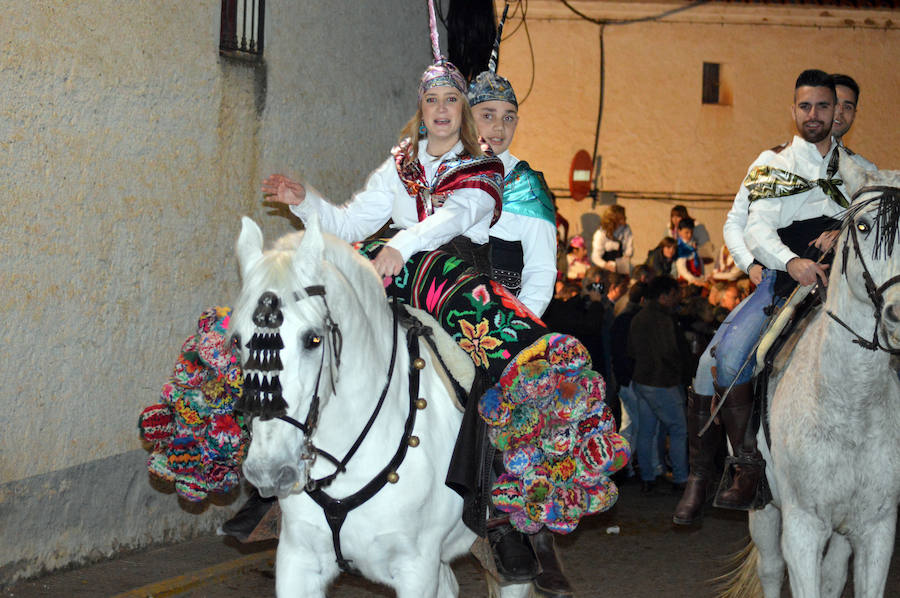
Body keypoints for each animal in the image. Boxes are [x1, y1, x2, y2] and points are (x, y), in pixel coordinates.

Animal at [724, 161, 900, 598]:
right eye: (864, 226)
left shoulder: (876, 530)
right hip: (764, 511)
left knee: (833, 576)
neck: (850, 403)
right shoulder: (802, 529)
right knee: (770, 569)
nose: (899, 314)